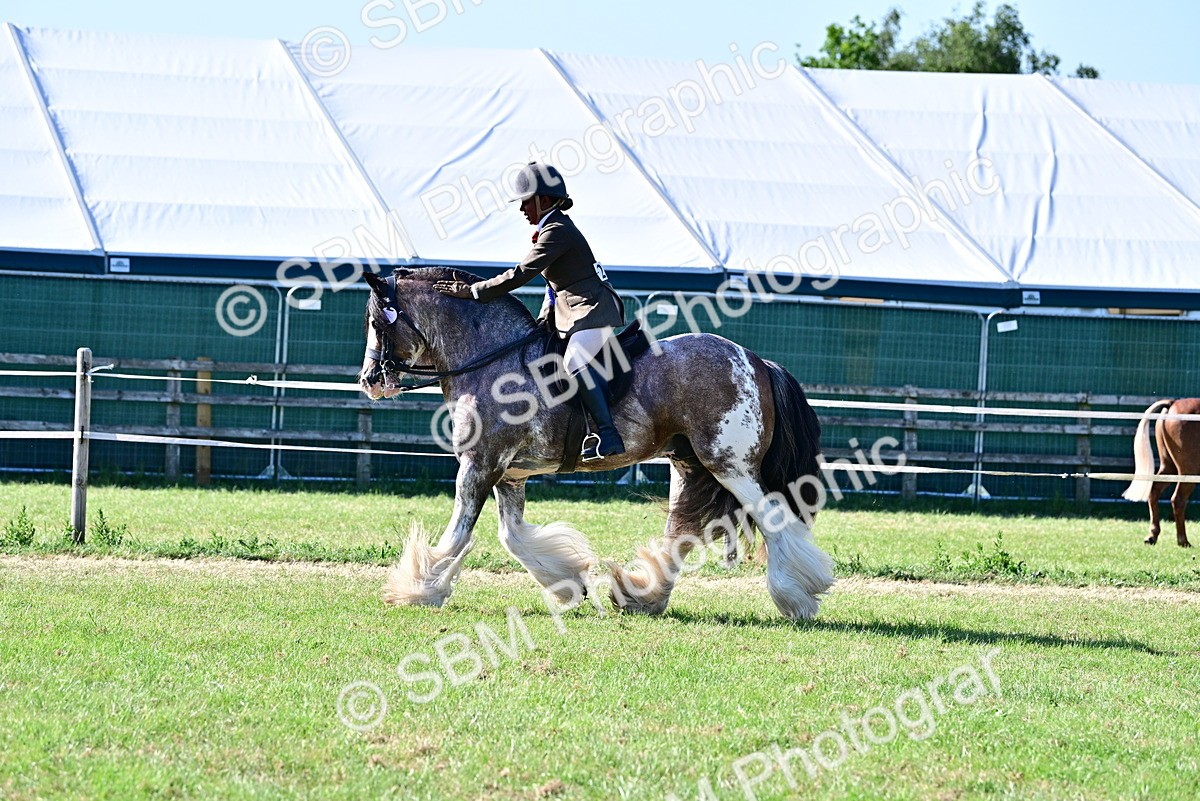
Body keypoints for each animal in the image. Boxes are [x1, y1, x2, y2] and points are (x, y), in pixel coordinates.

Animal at [358, 267, 835, 619]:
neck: (494, 361)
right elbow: (513, 537)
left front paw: (418, 589)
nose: (370, 382)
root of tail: (756, 360)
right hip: (689, 465)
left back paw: (797, 598)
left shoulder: (479, 464)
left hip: (729, 464)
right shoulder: (509, 474)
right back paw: (641, 597)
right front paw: (568, 584)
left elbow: (460, 534)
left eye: (377, 321)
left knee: (772, 519)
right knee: (681, 532)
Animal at [1122, 399, 1199, 548]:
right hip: (1189, 471)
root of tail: (1173, 403)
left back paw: (1152, 535)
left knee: (1154, 491)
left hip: (1169, 468)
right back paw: (1183, 541)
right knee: (1178, 500)